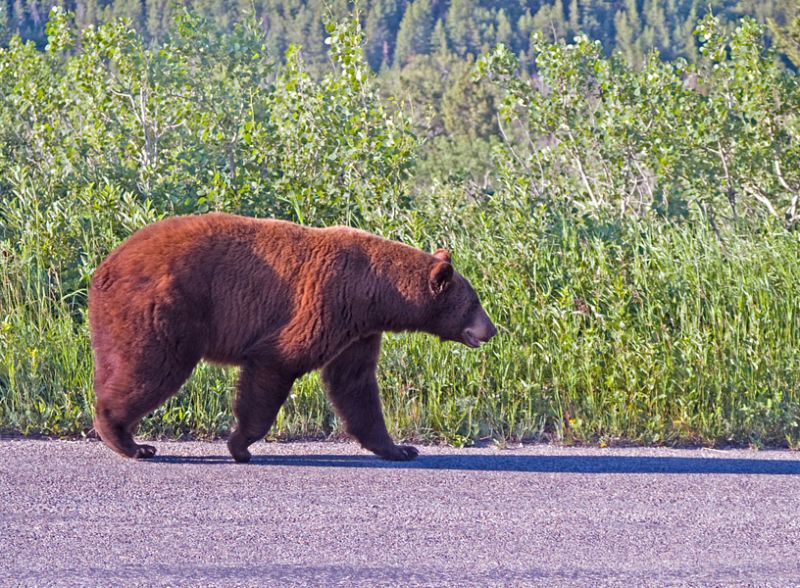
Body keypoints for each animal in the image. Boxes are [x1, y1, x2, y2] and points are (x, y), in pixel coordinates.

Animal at [90, 214, 496, 462]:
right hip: (164, 308)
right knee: (153, 369)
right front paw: (241, 445)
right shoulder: (326, 300)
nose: (491, 330)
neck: (376, 292)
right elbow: (278, 360)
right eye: (475, 302)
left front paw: (399, 448)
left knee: (119, 365)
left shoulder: (359, 331)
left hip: (115, 321)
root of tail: (105, 267)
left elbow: (355, 385)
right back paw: (129, 441)